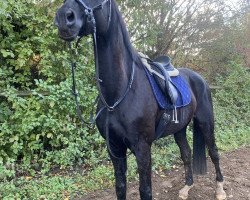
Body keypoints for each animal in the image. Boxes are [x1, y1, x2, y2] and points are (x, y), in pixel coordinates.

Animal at [54, 0, 227, 199]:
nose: (64, 17)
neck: (118, 95)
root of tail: (200, 79)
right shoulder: (115, 148)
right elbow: (120, 186)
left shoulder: (142, 148)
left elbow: (145, 190)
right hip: (180, 128)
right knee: (186, 153)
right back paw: (186, 188)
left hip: (206, 123)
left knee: (214, 152)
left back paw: (220, 189)